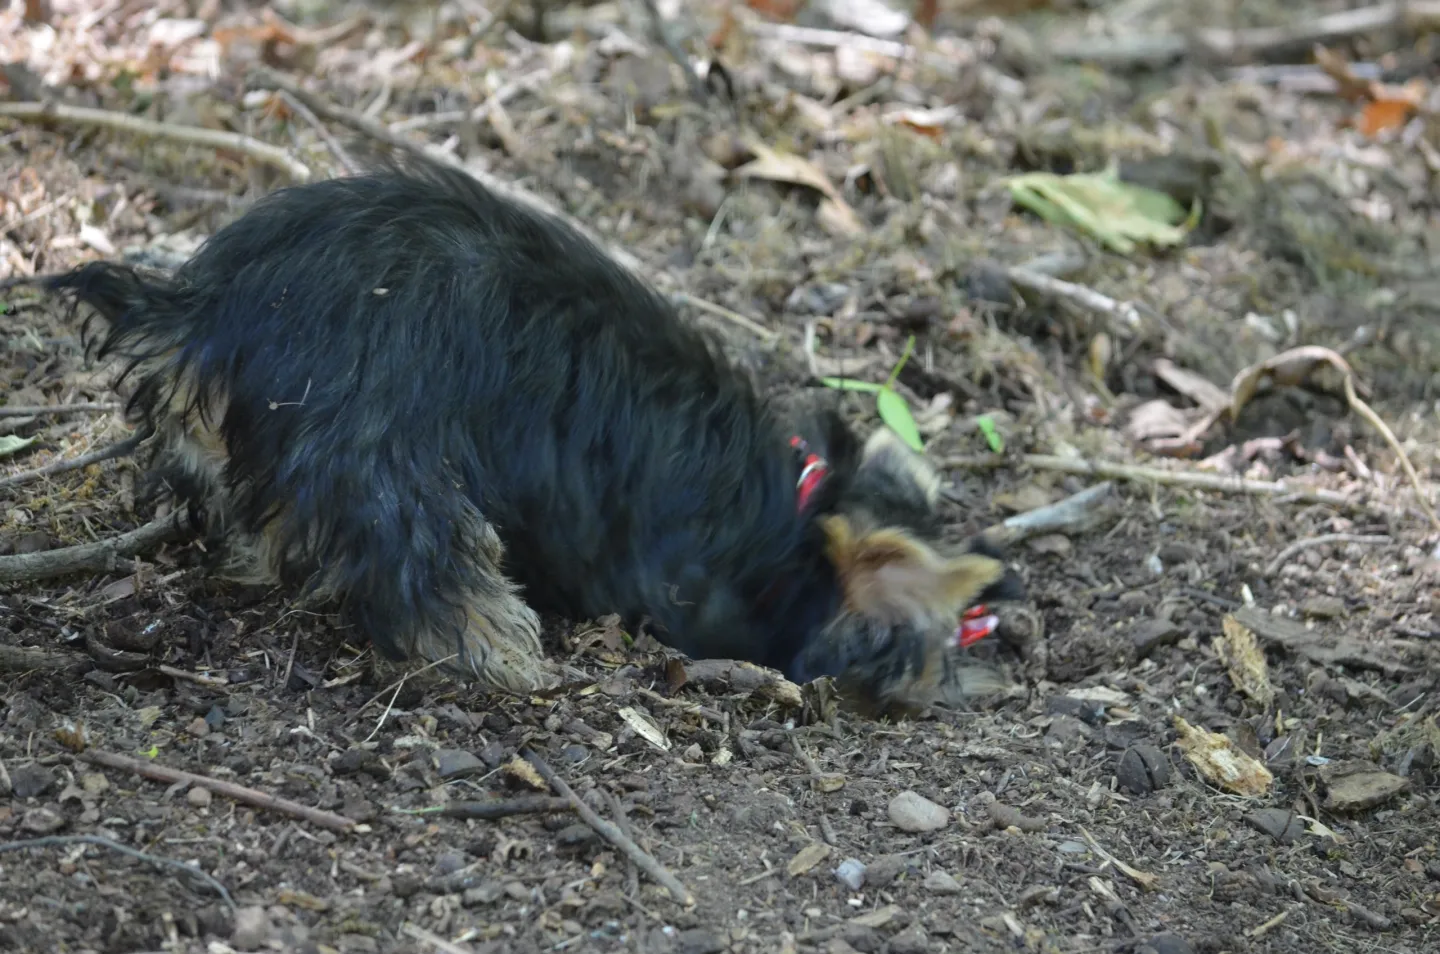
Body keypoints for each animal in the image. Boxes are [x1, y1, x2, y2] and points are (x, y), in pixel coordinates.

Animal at [36, 157, 1025, 714]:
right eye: (950, 641)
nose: (979, 684)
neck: (795, 520)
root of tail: (212, 307)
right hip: (375, 430)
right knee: (419, 552)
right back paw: (501, 652)